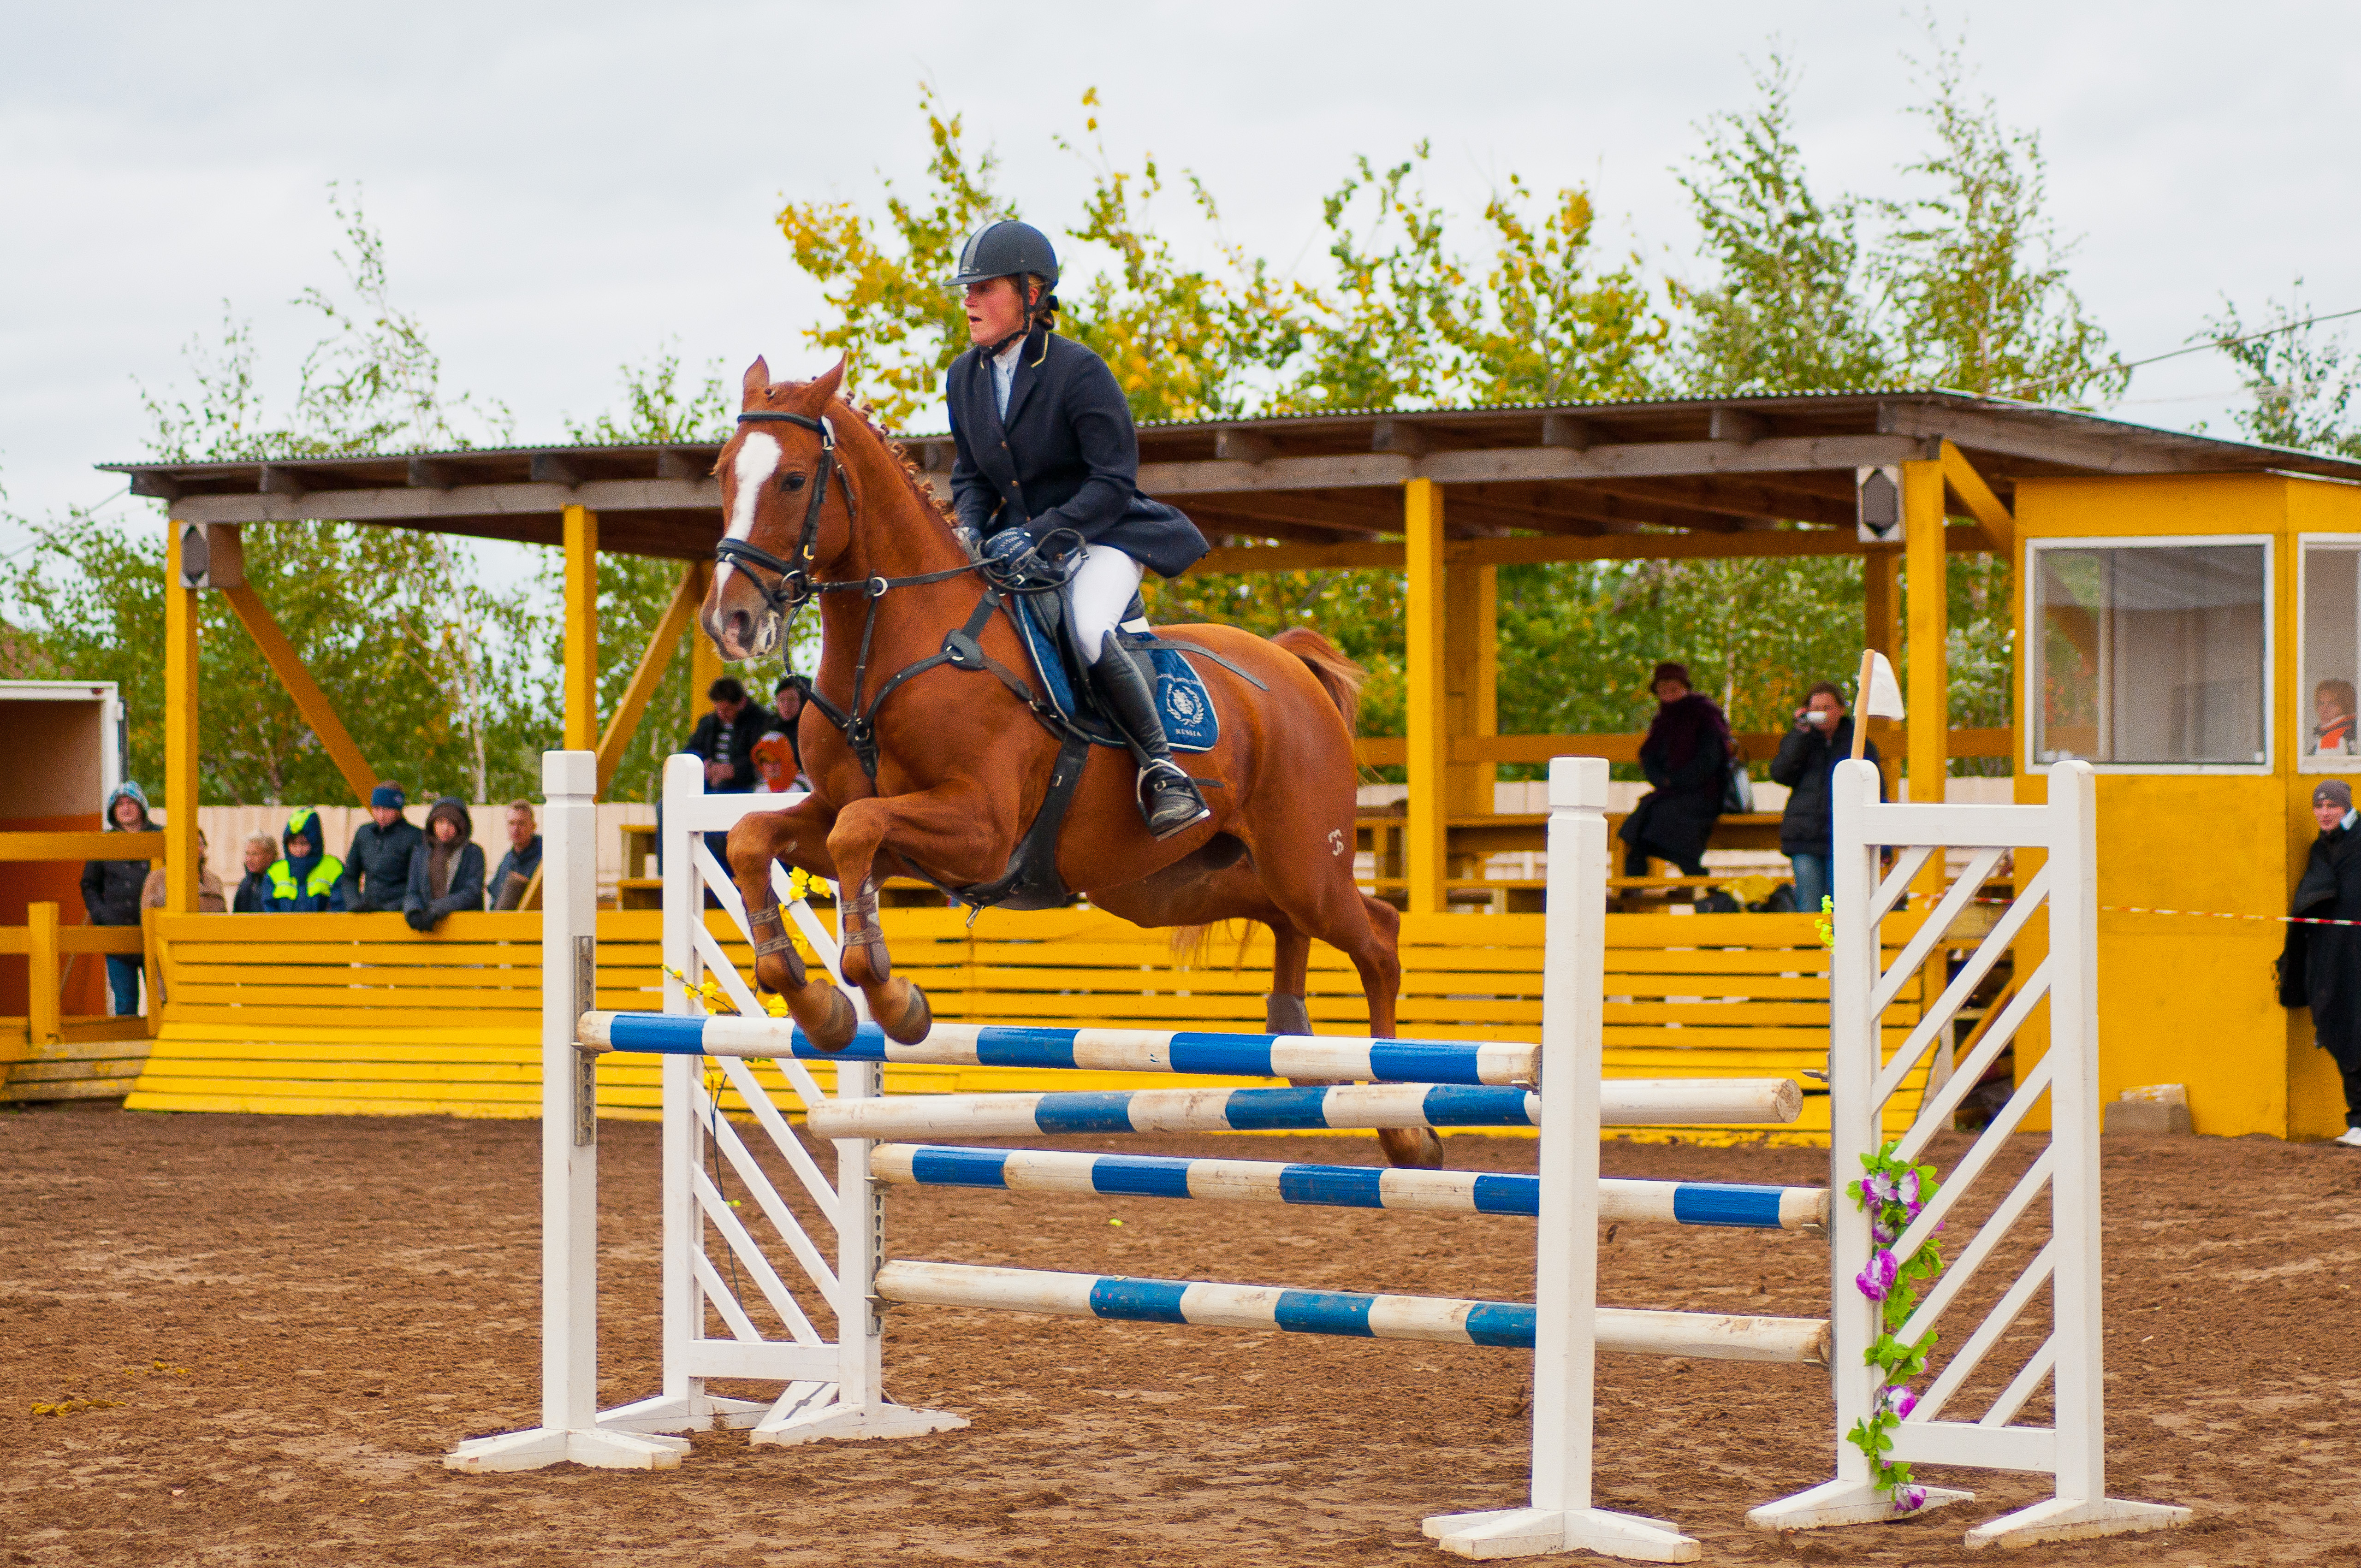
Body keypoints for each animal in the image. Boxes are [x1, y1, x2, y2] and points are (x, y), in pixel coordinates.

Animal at [699, 354, 1435, 1162]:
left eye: (795, 479)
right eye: (722, 473)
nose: (730, 621)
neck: (894, 641)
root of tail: (1291, 666)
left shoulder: (979, 830)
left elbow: (855, 833)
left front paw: (895, 1002)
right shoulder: (865, 822)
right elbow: (758, 837)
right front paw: (820, 1005)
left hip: (1304, 862)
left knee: (1379, 937)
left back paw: (1405, 1127)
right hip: (1173, 883)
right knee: (1283, 918)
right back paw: (1296, 1041)